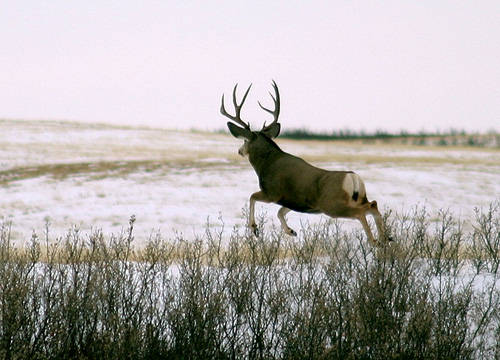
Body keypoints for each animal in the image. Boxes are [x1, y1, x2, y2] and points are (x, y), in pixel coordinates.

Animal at [221, 80, 388, 246]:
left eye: (244, 140)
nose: (239, 151)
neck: (266, 163)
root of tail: (353, 178)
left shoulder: (272, 192)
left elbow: (252, 197)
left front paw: (254, 228)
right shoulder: (296, 202)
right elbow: (280, 212)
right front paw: (291, 231)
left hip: (332, 205)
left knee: (361, 213)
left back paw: (374, 241)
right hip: (356, 199)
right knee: (373, 204)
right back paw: (384, 238)